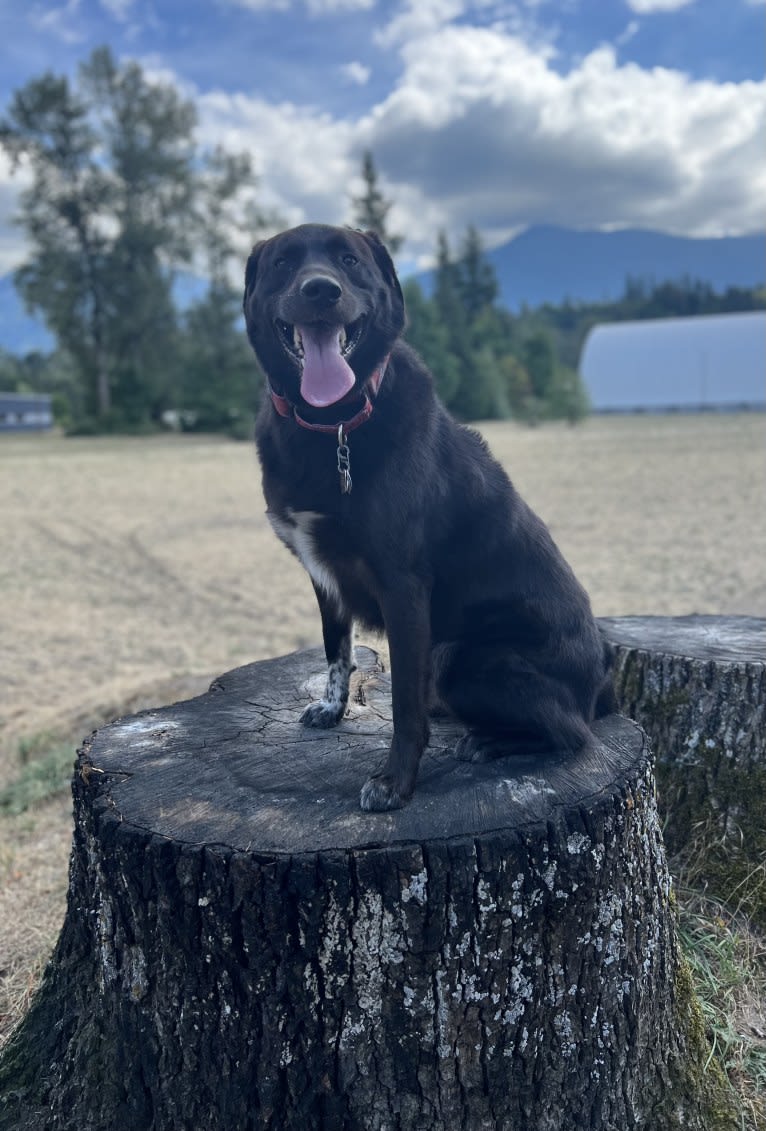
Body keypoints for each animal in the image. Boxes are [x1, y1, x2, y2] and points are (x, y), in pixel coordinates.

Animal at [242, 220, 610, 809]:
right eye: (283, 263)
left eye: (349, 260)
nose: (320, 290)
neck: (333, 425)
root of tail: (600, 686)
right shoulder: (323, 578)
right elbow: (336, 650)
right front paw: (332, 708)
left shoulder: (404, 587)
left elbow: (404, 703)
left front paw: (395, 782)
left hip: (457, 656)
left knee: (572, 734)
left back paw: (489, 742)